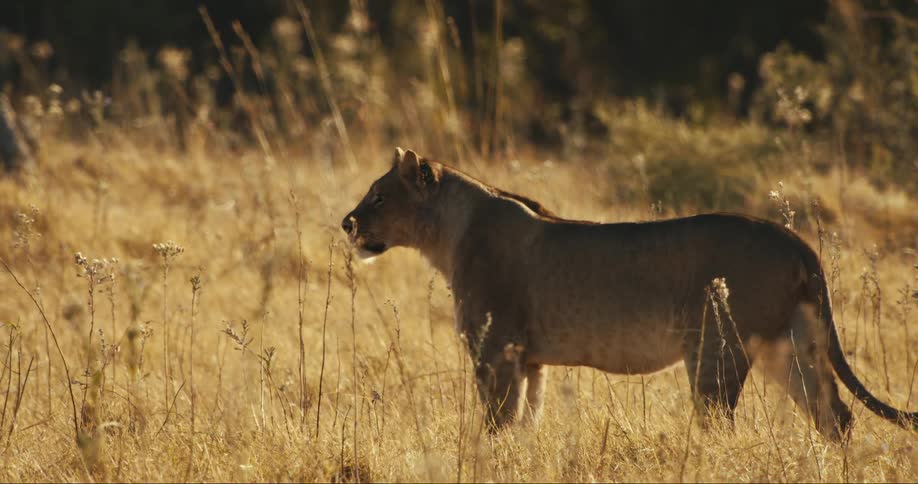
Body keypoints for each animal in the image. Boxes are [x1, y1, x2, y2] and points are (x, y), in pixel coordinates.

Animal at [341, 147, 917, 439]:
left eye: (378, 196)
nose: (346, 222)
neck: (449, 232)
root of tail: (796, 240)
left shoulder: (496, 352)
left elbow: (497, 423)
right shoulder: (529, 360)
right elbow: (526, 422)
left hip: (717, 347)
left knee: (721, 424)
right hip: (789, 343)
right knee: (835, 415)